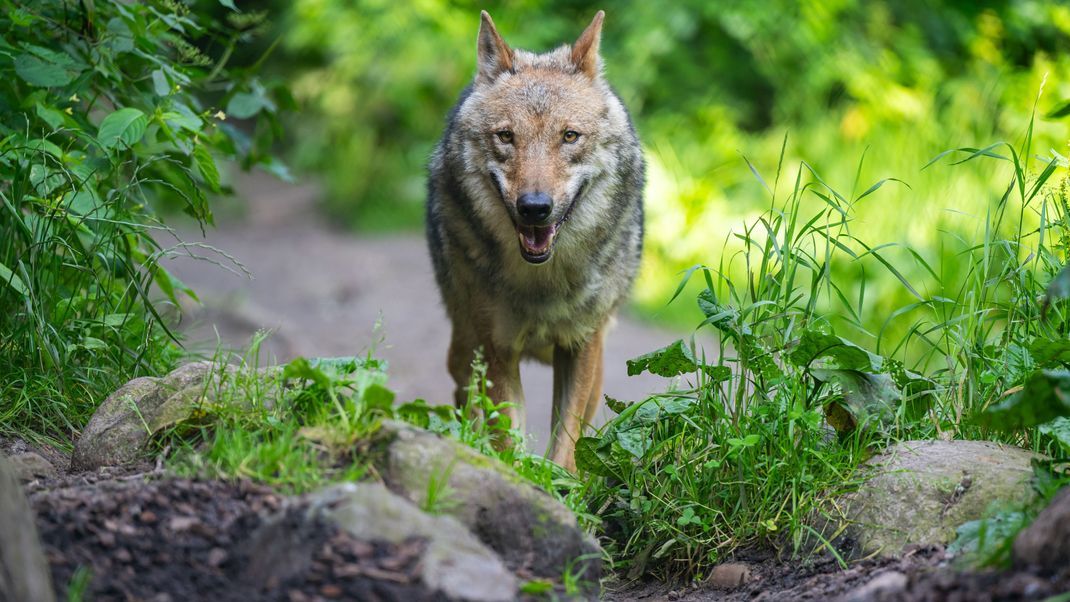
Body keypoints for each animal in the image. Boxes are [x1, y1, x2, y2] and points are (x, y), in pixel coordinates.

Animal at [425, 10, 642, 470]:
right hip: (464, 346)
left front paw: (558, 483)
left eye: (570, 136)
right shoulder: (496, 348)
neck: (543, 283)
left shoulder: (582, 344)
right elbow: (508, 439)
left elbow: (566, 443)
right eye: (506, 136)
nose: (535, 208)